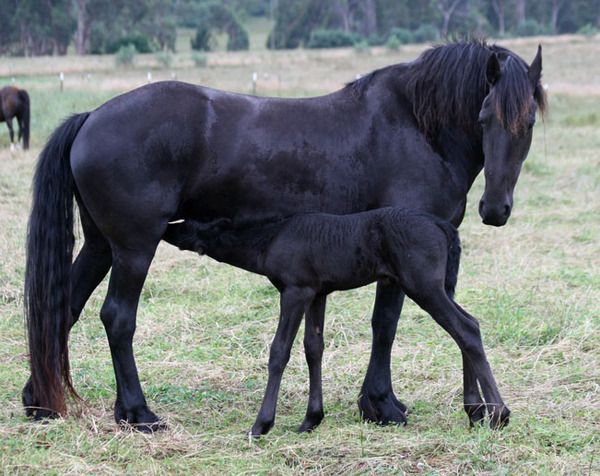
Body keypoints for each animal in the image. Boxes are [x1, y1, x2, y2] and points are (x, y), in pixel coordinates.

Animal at [164, 207, 509, 436]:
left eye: (190, 223)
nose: (166, 226)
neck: (270, 238)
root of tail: (442, 226)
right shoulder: (317, 293)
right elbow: (313, 347)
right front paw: (311, 419)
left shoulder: (295, 290)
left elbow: (279, 351)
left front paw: (261, 424)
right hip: (441, 286)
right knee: (466, 326)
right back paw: (476, 412)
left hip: (423, 285)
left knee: (466, 329)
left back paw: (499, 414)